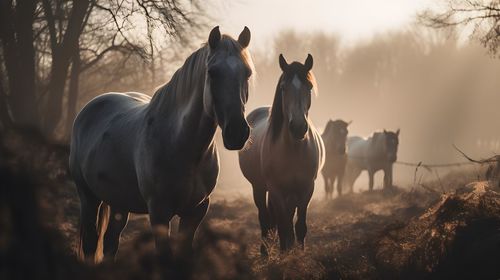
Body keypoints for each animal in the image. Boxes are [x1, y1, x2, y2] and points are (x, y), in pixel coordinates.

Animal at [69, 26, 254, 262]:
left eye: (247, 73)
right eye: (212, 73)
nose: (237, 132)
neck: (181, 145)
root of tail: (90, 107)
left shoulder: (196, 211)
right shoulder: (159, 212)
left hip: (119, 201)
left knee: (111, 241)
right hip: (88, 196)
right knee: (91, 243)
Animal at [238, 53, 324, 255]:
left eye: (309, 87)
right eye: (284, 88)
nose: (298, 127)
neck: (293, 149)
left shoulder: (306, 189)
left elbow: (299, 226)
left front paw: (299, 255)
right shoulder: (276, 190)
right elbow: (284, 226)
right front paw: (285, 254)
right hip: (259, 187)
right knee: (265, 218)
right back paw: (265, 252)